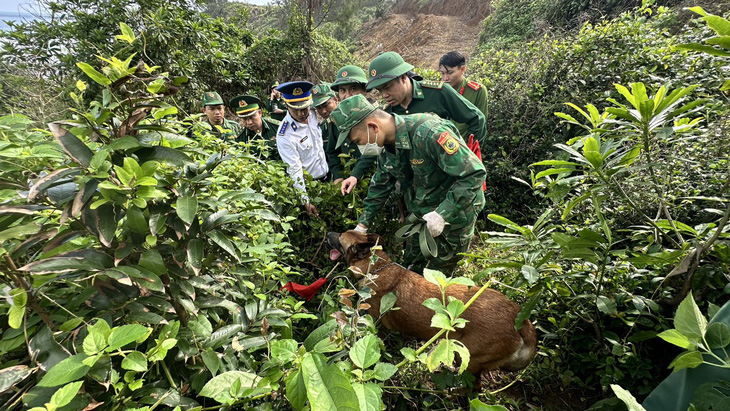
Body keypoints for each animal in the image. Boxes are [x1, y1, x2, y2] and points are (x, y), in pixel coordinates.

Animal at [328, 232, 536, 384]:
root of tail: (520, 319)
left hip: (471, 358)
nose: (328, 233)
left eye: (339, 238)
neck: (377, 267)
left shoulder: (377, 326)